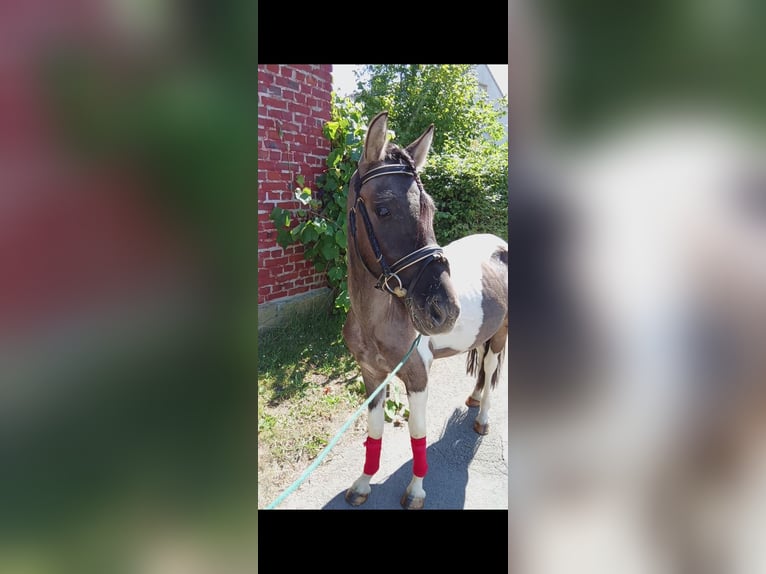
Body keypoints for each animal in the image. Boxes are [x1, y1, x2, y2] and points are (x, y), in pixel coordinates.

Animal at [341, 111, 508, 510]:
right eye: (383, 209)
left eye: (430, 209)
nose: (444, 309)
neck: (377, 321)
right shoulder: (372, 374)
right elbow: (373, 431)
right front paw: (363, 483)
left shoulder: (417, 378)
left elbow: (418, 433)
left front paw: (416, 490)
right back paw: (473, 398)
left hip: (500, 335)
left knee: (491, 367)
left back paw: (483, 417)